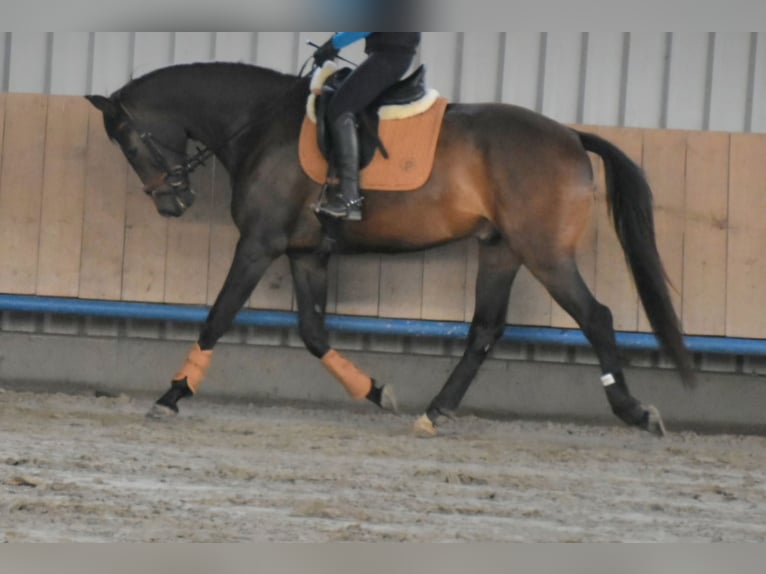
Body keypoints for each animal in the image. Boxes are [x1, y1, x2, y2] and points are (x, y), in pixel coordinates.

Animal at [84, 60, 696, 436]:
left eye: (128, 143)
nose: (172, 203)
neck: (262, 125)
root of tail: (571, 135)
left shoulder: (258, 244)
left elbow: (218, 316)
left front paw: (172, 395)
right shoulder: (306, 253)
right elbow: (313, 333)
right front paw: (377, 392)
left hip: (545, 253)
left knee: (597, 317)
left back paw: (636, 412)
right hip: (501, 249)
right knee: (486, 329)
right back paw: (435, 412)